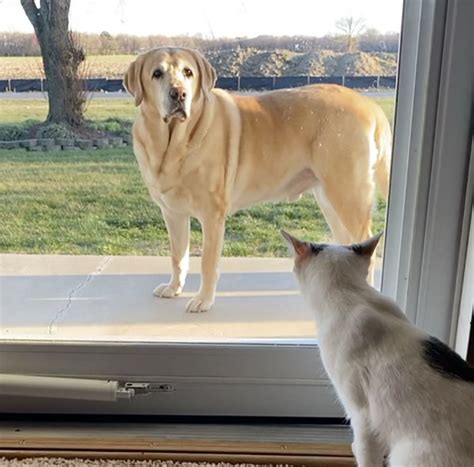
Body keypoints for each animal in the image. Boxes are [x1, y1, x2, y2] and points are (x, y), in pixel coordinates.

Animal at [124, 47, 390, 312]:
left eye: (188, 72)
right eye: (157, 73)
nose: (179, 93)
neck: (172, 144)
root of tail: (369, 104)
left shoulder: (212, 216)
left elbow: (208, 263)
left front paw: (203, 299)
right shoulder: (173, 213)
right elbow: (178, 256)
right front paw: (173, 288)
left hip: (348, 195)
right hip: (329, 199)